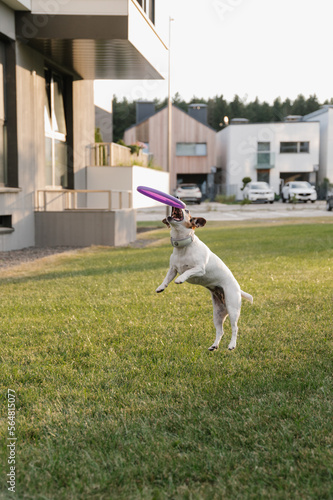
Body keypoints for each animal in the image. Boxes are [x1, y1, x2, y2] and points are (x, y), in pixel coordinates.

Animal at [156, 207, 252, 352]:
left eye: (187, 210)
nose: (179, 203)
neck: (183, 247)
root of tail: (238, 289)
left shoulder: (200, 269)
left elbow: (188, 271)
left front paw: (180, 279)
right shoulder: (173, 269)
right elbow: (167, 278)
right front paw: (161, 287)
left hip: (232, 308)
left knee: (235, 328)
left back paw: (232, 345)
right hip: (217, 313)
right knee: (220, 331)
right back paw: (214, 345)